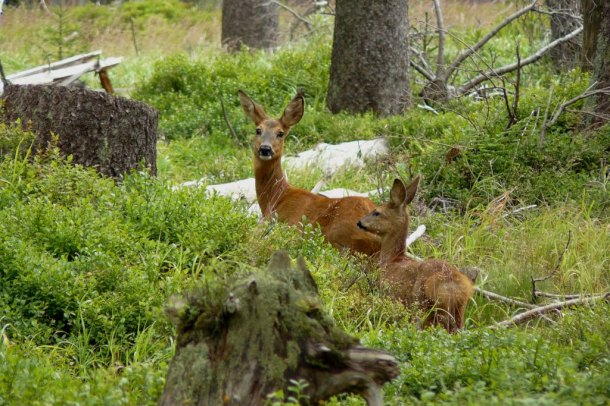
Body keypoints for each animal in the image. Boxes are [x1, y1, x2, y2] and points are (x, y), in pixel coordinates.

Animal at [356, 176, 476, 332]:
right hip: (459, 310)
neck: (391, 260)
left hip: (420, 302)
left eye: (377, 212)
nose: (359, 222)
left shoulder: (389, 293)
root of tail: (456, 285)